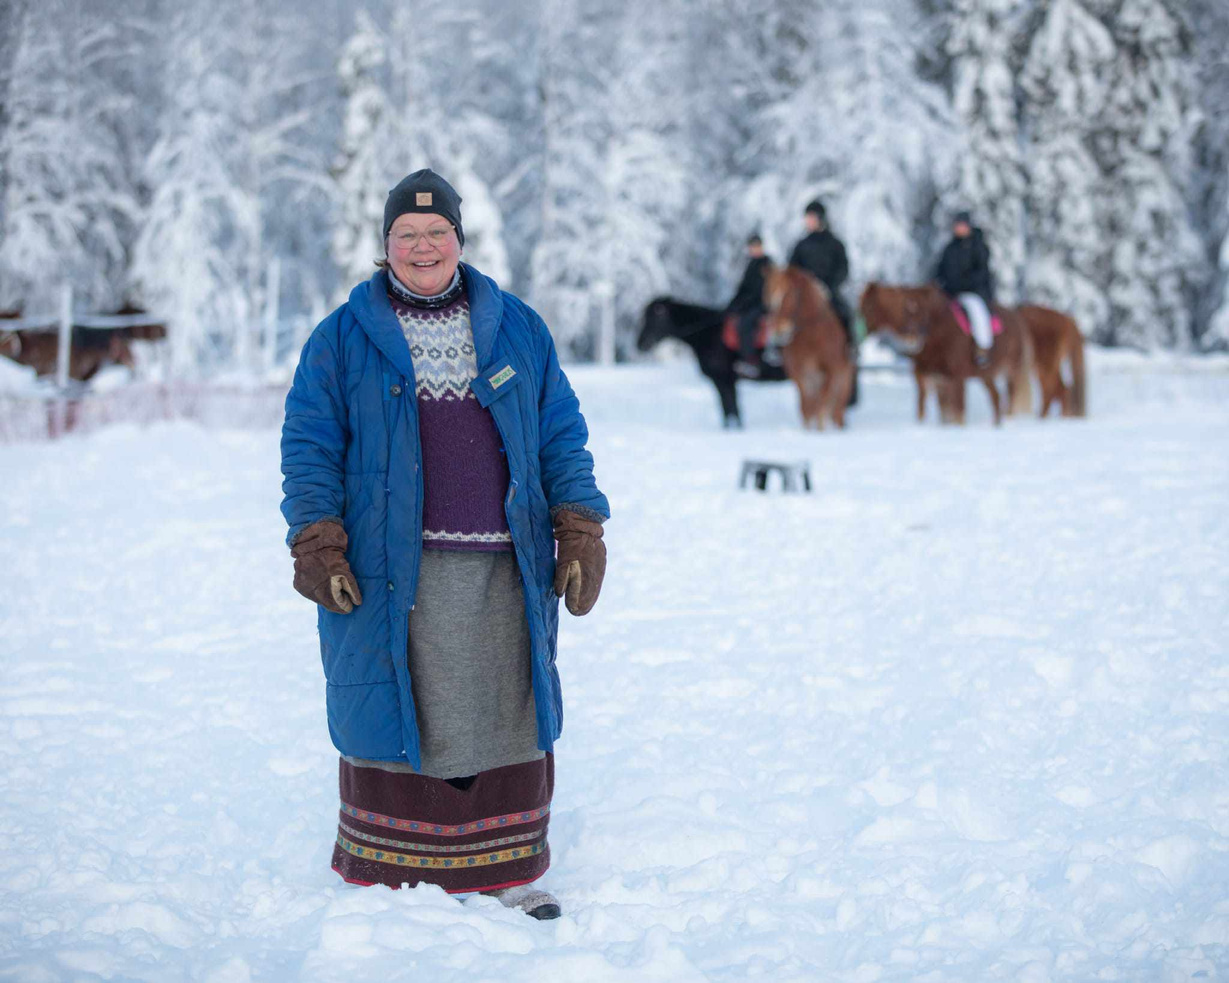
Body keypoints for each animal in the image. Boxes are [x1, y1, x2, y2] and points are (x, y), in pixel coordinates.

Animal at [634, 296, 786, 425]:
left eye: (655, 317)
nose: (640, 344)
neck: (708, 335)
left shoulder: (723, 379)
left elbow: (731, 410)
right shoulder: (725, 380)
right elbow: (730, 410)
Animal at [757, 262, 855, 427]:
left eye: (789, 294)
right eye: (767, 295)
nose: (779, 330)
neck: (810, 336)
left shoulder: (829, 373)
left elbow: (820, 409)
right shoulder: (799, 375)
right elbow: (807, 410)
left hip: (842, 384)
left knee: (835, 412)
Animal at [860, 280, 1032, 425]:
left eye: (923, 310)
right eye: (904, 309)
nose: (912, 339)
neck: (940, 334)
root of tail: (1016, 317)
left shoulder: (956, 377)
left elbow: (958, 413)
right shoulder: (930, 377)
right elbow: (929, 412)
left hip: (1011, 371)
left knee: (1009, 398)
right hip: (986, 375)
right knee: (996, 397)